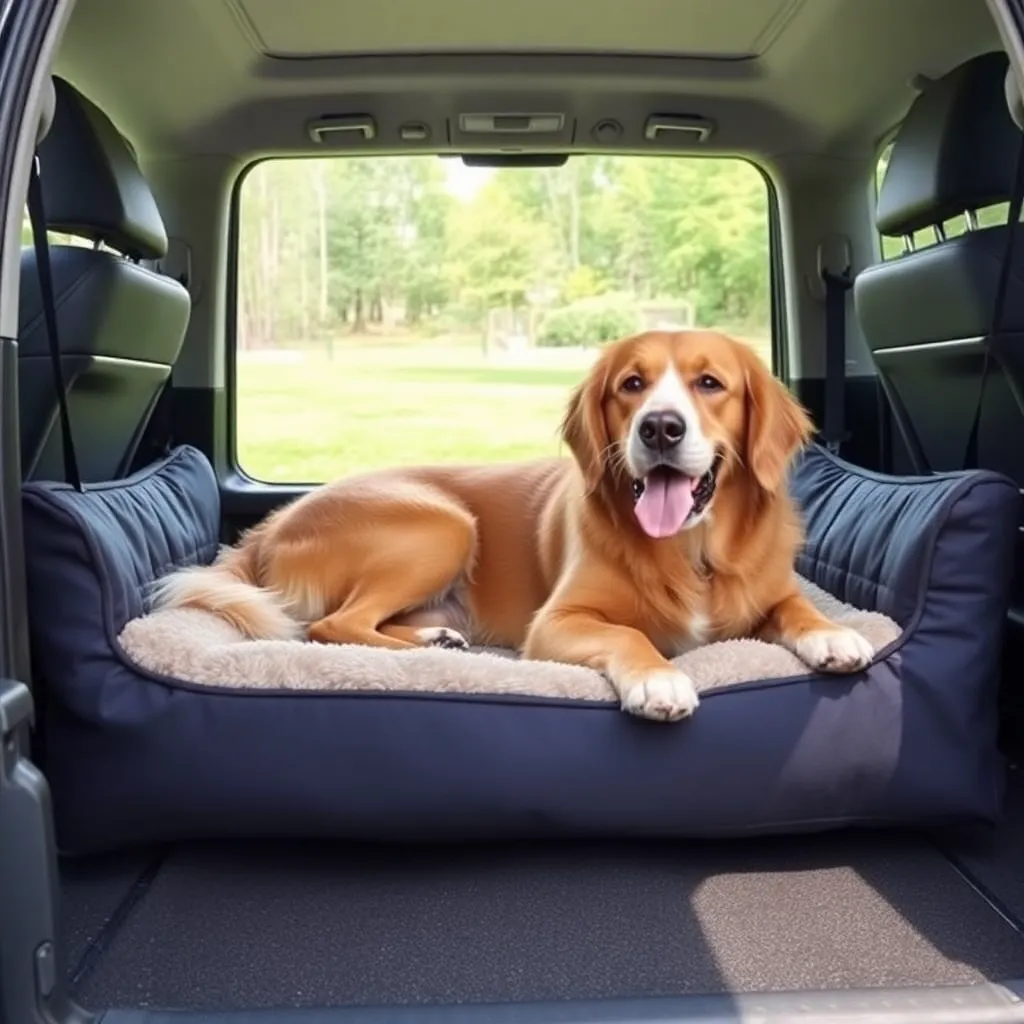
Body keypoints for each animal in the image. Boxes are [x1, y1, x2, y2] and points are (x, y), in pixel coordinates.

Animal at [151, 327, 872, 720]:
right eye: (632, 384)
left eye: (711, 384)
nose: (660, 428)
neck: (691, 548)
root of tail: (267, 528)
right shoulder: (557, 623)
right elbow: (630, 637)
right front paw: (659, 677)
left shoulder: (769, 589)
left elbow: (795, 606)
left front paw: (831, 633)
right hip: (441, 524)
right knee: (332, 626)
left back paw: (437, 638)